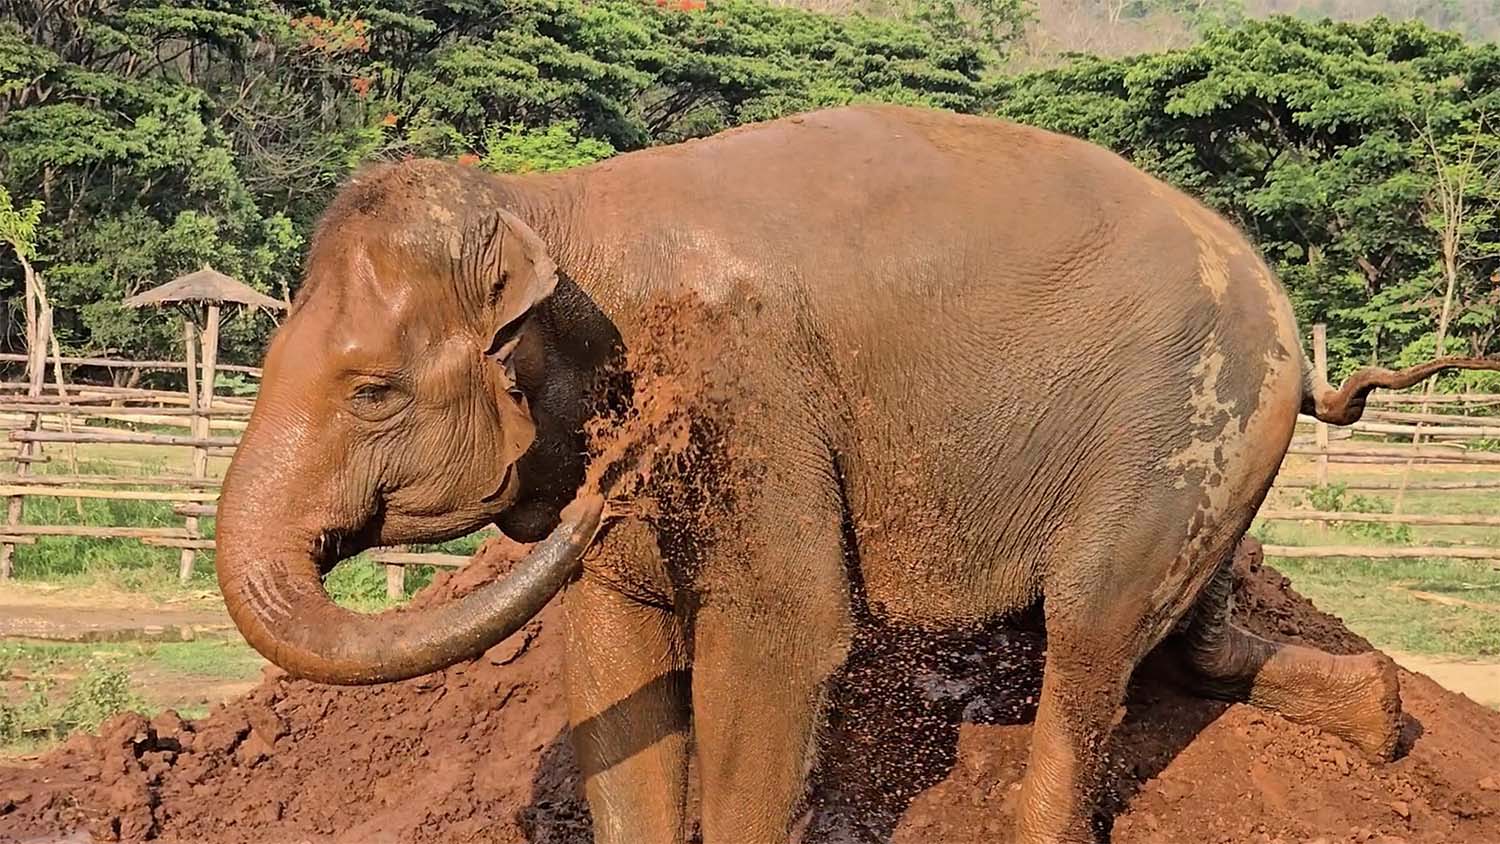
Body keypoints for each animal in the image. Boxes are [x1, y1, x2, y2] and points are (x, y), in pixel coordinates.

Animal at [215, 104, 1500, 843]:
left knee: (1091, 637)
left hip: (1183, 423)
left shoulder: (751, 391)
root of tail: (1285, 318)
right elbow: (612, 652)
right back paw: (1383, 712)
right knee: (1181, 630)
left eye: (372, 391)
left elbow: (783, 635)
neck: (557, 213)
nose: (626, 463)